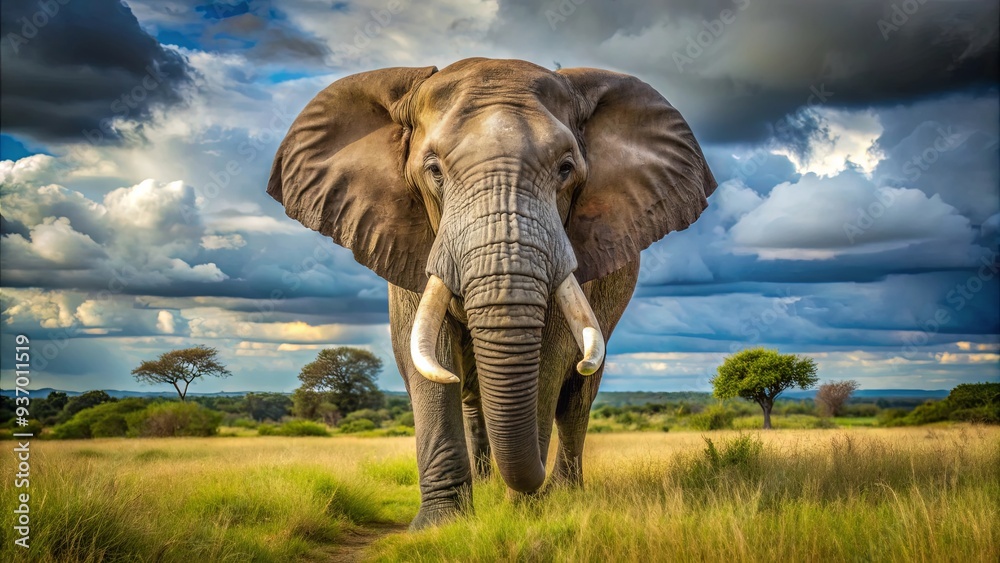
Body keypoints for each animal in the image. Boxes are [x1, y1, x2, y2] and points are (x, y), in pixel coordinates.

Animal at [267, 58, 716, 529]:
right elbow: (419, 353)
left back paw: (562, 491)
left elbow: (550, 358)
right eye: (434, 171)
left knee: (576, 397)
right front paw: (440, 524)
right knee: (473, 393)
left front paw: (524, 511)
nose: (524, 490)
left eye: (566, 169)